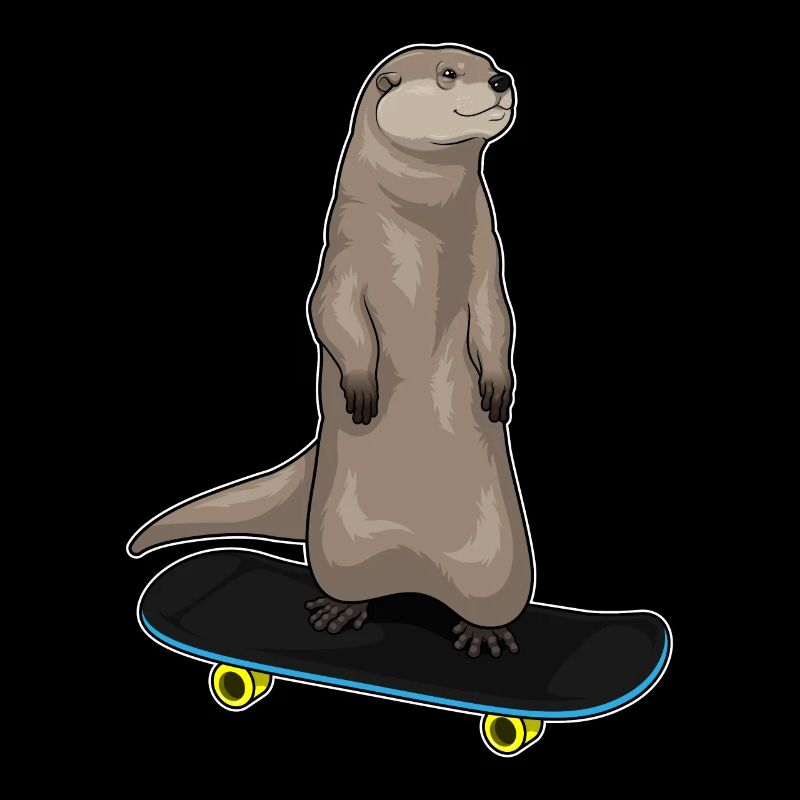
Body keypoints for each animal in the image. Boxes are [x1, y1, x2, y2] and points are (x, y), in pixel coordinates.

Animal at [128, 44, 533, 659]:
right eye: (449, 73)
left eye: (488, 64)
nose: (501, 79)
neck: (424, 224)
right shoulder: (346, 248)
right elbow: (330, 313)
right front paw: (362, 387)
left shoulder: (487, 252)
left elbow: (495, 317)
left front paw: (498, 388)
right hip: (336, 544)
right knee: (349, 582)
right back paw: (341, 610)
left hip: (503, 562)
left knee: (491, 597)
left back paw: (483, 632)